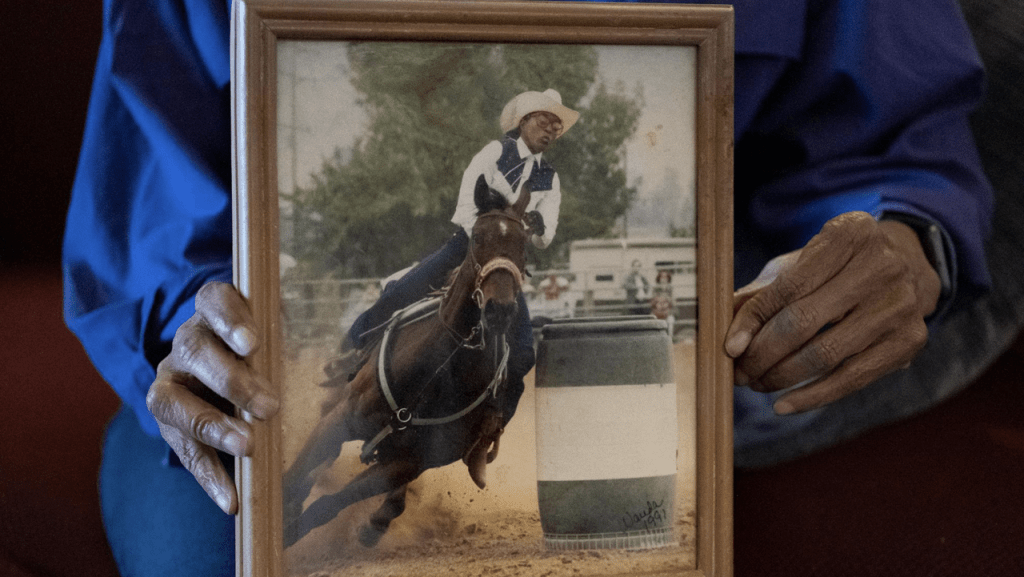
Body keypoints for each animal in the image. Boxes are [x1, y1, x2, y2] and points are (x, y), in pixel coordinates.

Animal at [284, 178, 532, 549]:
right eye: (476, 237)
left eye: (524, 244)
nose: (499, 309)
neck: (434, 372)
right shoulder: (341, 420)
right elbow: (296, 477)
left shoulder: (405, 464)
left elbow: (326, 507)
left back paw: (377, 522)